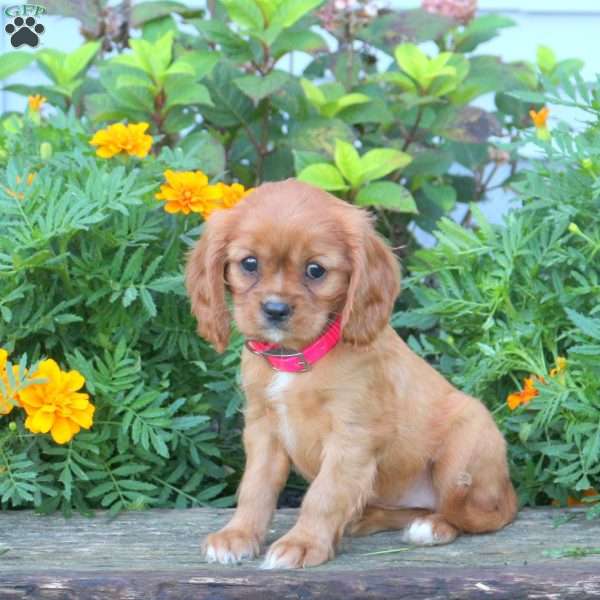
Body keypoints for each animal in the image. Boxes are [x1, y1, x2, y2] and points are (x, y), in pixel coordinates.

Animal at [185, 178, 516, 568]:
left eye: (315, 270)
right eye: (249, 264)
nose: (275, 309)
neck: (299, 357)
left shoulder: (352, 436)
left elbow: (323, 495)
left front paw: (302, 543)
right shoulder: (263, 429)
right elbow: (255, 487)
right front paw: (238, 535)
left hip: (463, 453)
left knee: (474, 515)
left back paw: (432, 527)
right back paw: (367, 518)